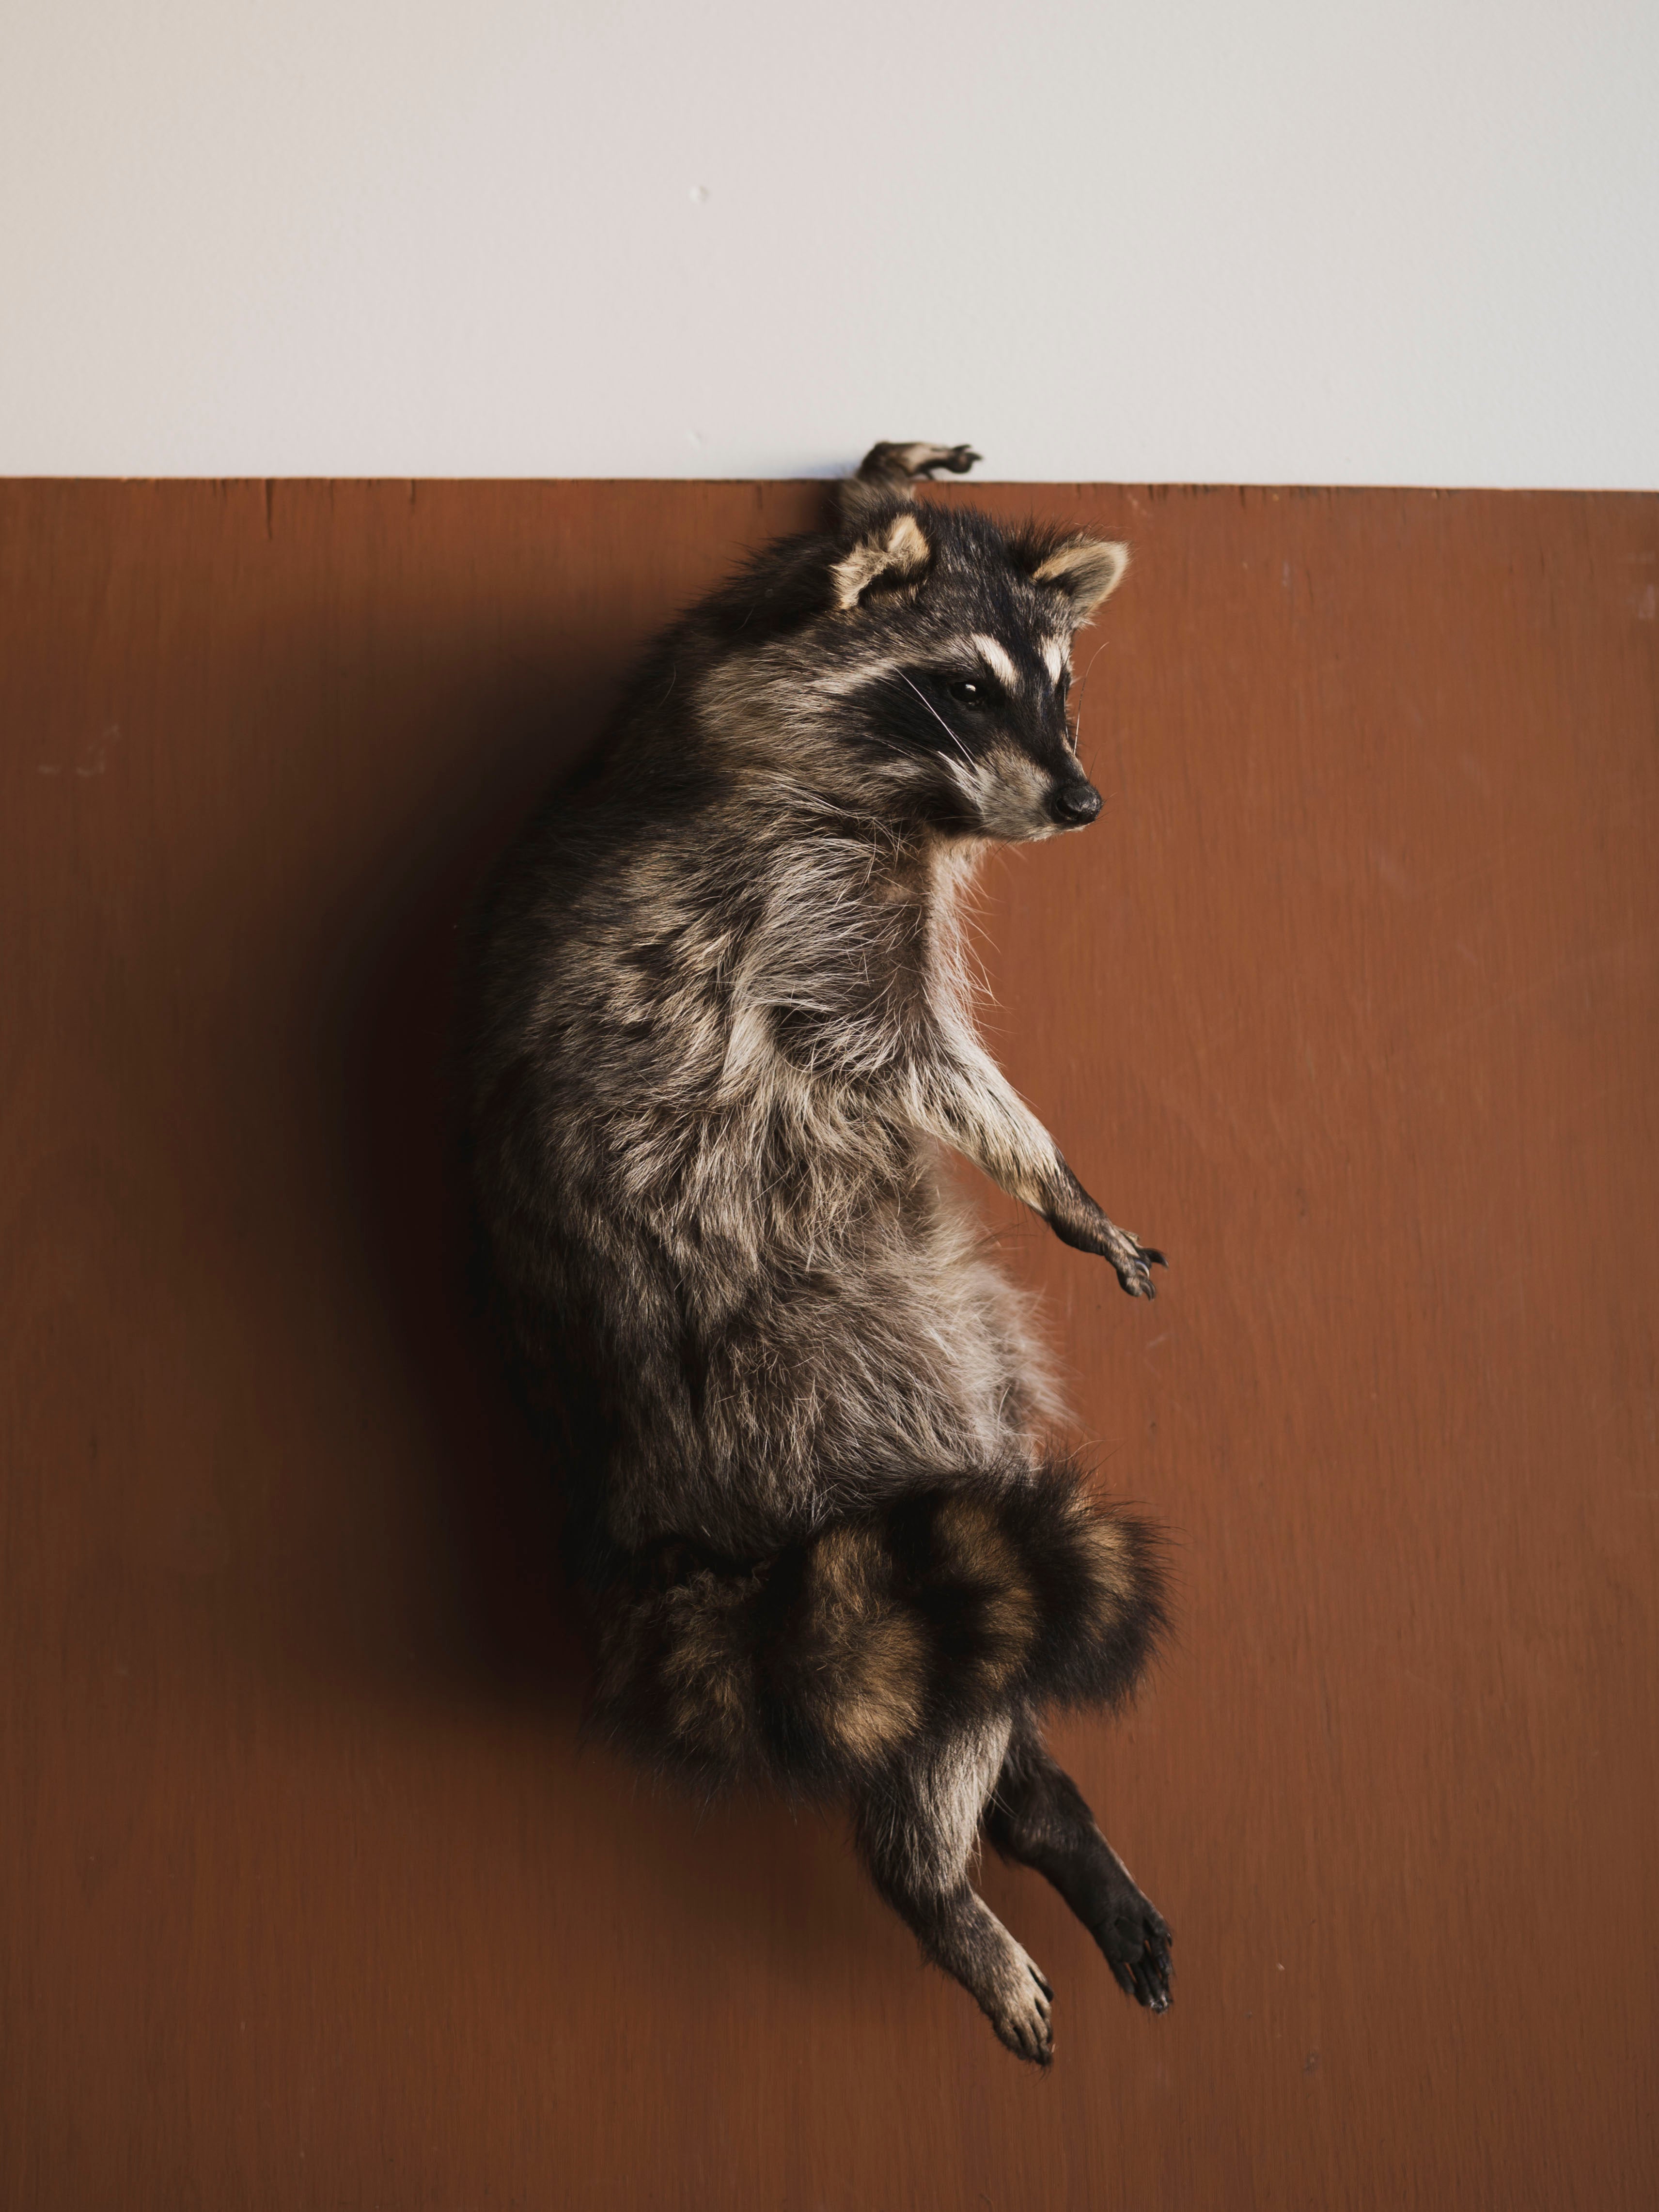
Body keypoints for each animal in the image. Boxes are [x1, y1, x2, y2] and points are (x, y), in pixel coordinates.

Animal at [461, 440, 1172, 2064]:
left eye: (1060, 686)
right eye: (965, 687)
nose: (1085, 798)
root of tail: (636, 1503)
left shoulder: (695, 655)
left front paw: (879, 472)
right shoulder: (789, 892)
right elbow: (887, 1045)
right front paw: (1035, 1153)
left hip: (943, 1368)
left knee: (973, 1624)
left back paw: (1040, 1812)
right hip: (834, 1360)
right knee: (942, 1630)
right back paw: (935, 1873)